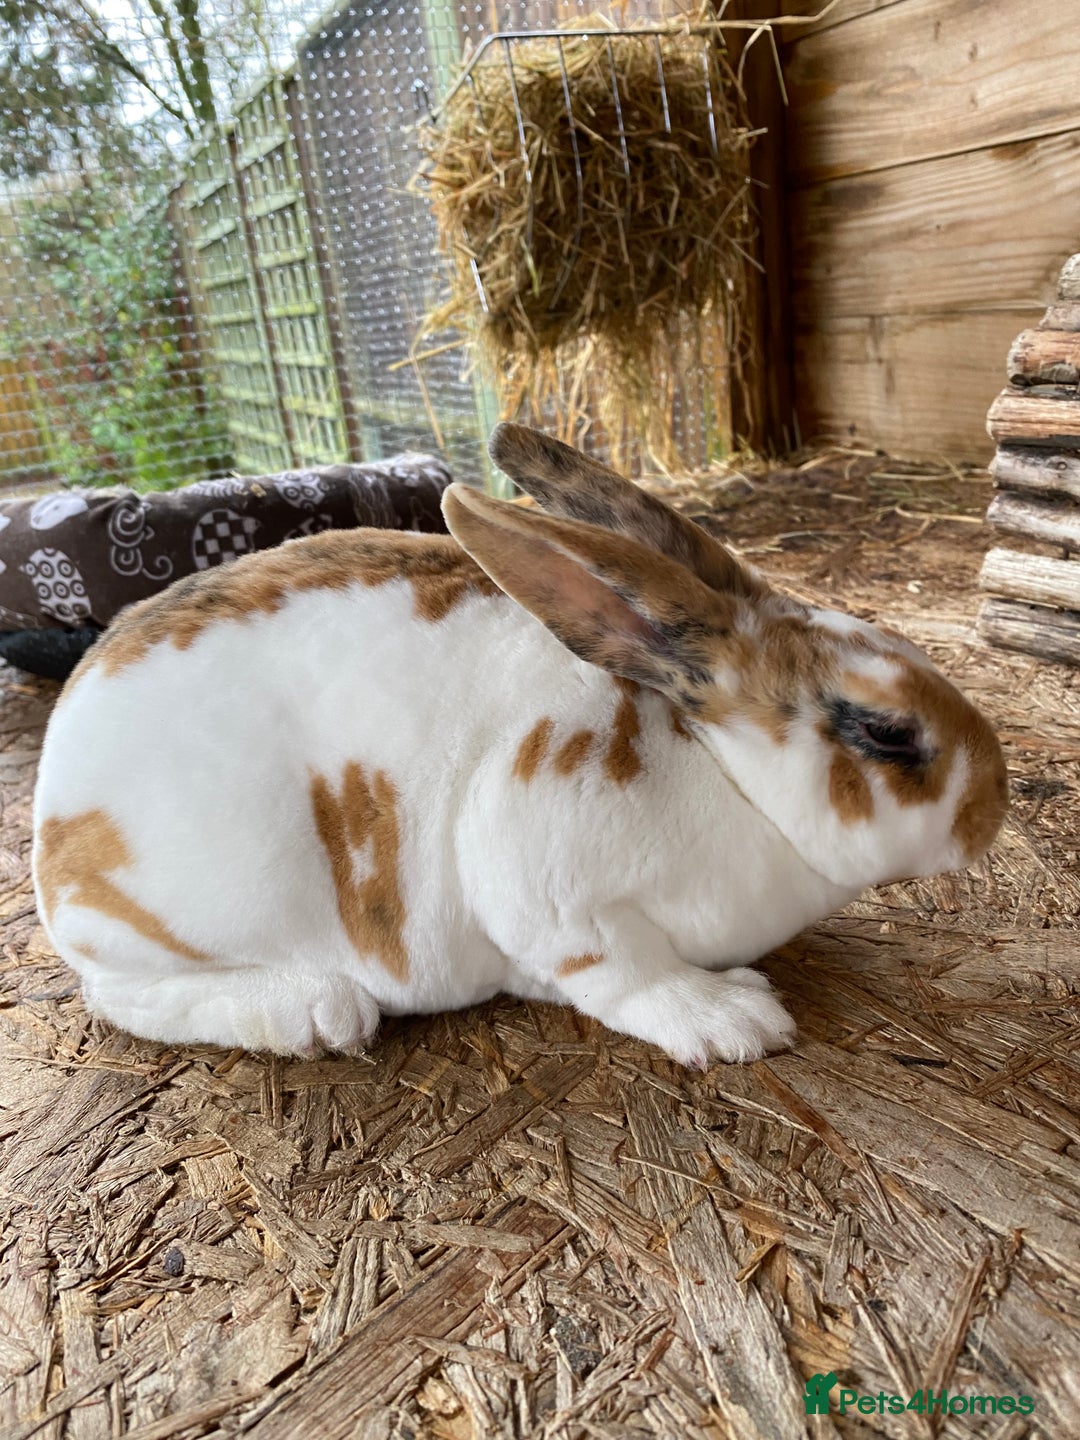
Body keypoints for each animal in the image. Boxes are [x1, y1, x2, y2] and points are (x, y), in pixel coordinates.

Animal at [31, 423, 1008, 1069]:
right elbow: (622, 974)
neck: (725, 776)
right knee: (123, 996)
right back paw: (313, 1013)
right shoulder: (548, 880)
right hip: (202, 900)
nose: (994, 807)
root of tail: (47, 828)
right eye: (885, 732)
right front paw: (731, 1018)